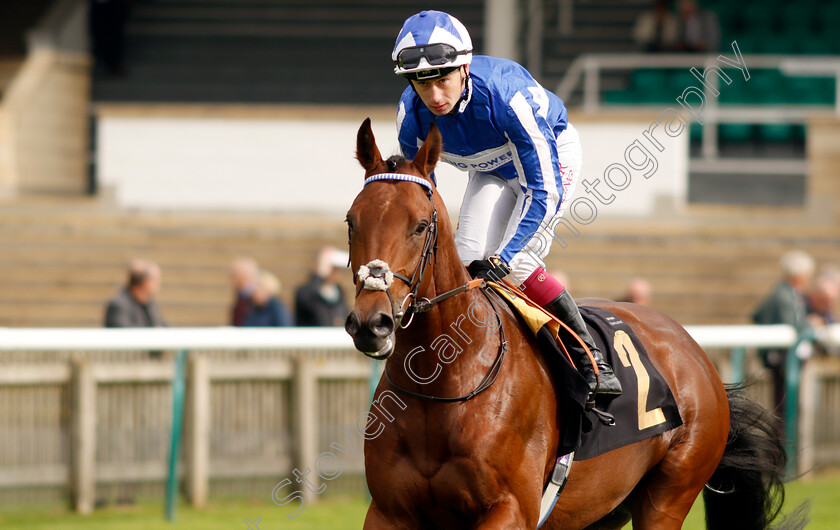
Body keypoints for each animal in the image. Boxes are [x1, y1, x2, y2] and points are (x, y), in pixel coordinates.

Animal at [344, 119, 804, 528]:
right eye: (352, 221)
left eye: (420, 226)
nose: (371, 323)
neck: (443, 381)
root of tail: (694, 351)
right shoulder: (388, 512)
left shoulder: (510, 509)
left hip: (670, 493)